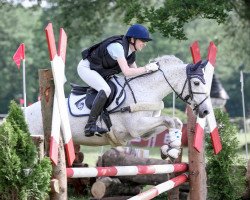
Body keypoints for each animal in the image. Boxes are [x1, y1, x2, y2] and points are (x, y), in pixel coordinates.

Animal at [24, 54, 210, 147]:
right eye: (196, 82)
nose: (206, 111)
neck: (146, 89)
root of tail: (23, 112)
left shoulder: (145, 131)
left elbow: (174, 121)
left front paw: (173, 145)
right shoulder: (136, 127)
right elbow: (168, 119)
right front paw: (173, 147)